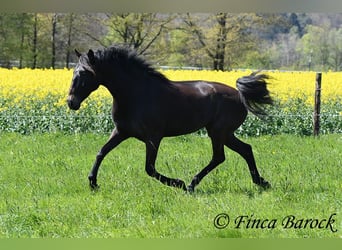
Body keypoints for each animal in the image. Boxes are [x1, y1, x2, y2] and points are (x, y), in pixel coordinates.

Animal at [67, 46, 272, 192]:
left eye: (86, 73)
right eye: (74, 71)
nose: (71, 102)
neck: (135, 94)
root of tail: (239, 94)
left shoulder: (153, 137)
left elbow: (149, 168)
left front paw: (178, 183)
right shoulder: (121, 131)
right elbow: (101, 152)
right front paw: (93, 183)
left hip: (218, 132)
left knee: (219, 157)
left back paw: (190, 185)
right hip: (224, 133)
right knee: (244, 150)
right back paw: (261, 182)